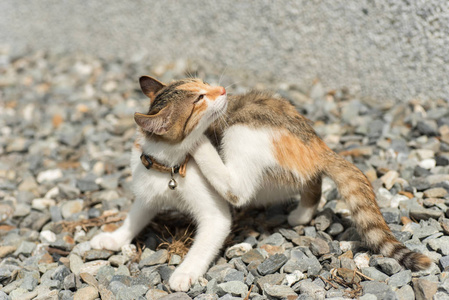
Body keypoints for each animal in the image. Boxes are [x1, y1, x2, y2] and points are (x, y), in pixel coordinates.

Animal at [91, 76, 430, 292]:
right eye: (199, 98)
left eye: (202, 84)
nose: (222, 88)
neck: (169, 168)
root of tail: (315, 141)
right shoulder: (147, 194)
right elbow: (134, 218)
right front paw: (112, 239)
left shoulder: (216, 217)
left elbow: (203, 245)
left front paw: (184, 273)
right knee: (313, 179)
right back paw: (302, 214)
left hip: (242, 132)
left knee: (238, 187)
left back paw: (201, 143)